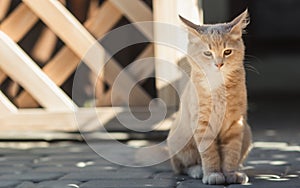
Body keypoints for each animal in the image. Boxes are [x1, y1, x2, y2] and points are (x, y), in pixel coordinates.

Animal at [168, 9, 252, 184]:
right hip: (181, 141)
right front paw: (213, 174)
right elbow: (209, 153)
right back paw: (197, 170)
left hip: (247, 133)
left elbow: (232, 151)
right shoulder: (202, 122)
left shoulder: (236, 123)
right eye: (208, 53)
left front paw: (231, 173)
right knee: (182, 166)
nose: (219, 64)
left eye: (227, 51)